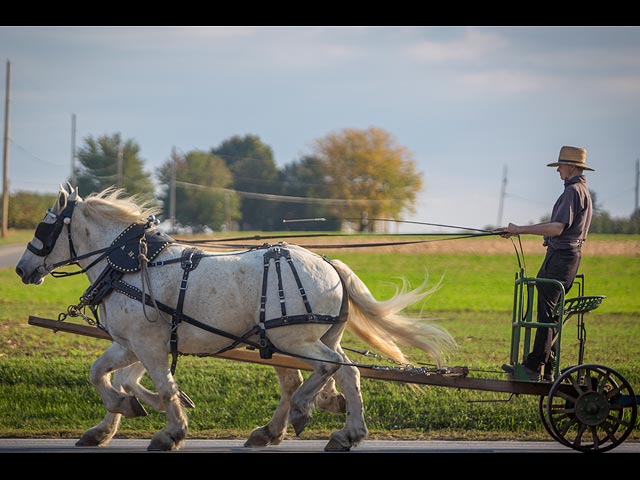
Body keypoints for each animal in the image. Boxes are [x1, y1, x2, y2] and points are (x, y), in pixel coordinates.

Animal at [15, 186, 456, 452]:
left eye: (43, 227)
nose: (21, 269)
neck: (130, 264)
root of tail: (329, 263)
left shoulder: (149, 345)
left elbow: (160, 384)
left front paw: (171, 429)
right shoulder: (129, 343)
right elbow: (102, 375)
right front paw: (113, 420)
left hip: (295, 340)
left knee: (332, 369)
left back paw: (314, 414)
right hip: (304, 339)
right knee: (337, 373)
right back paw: (327, 428)